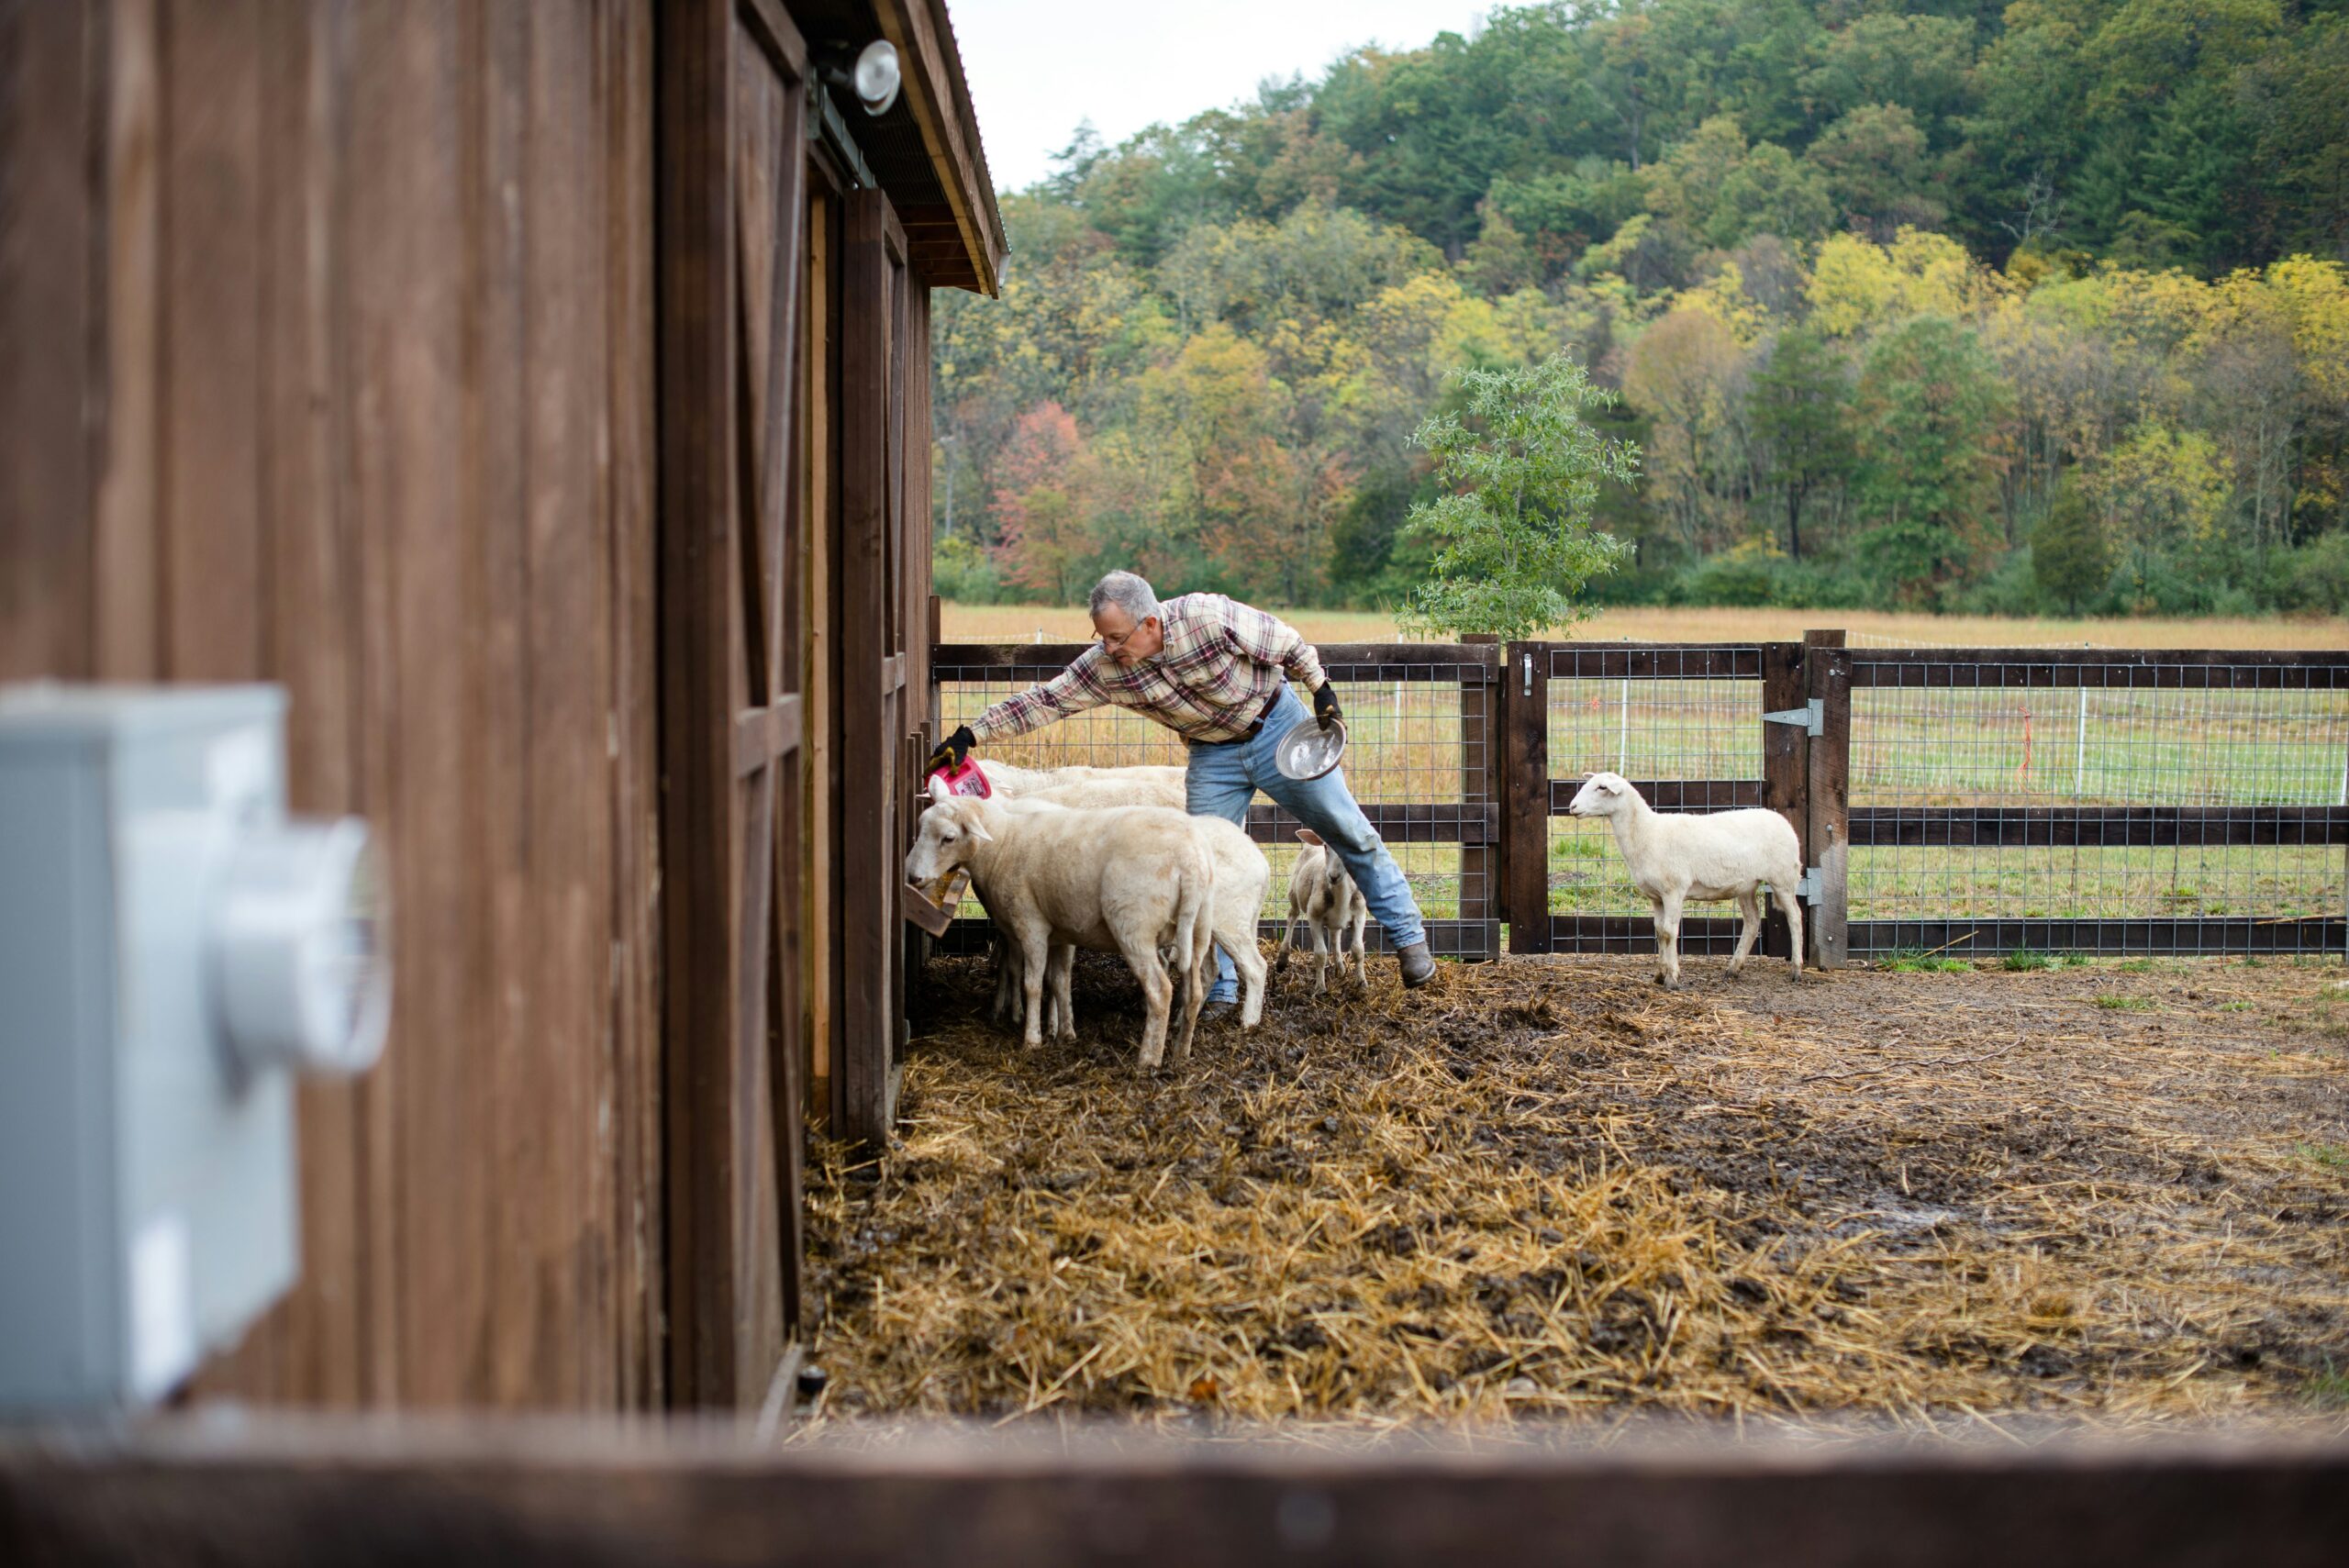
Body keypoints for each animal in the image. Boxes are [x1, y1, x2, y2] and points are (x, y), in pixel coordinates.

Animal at [902, 779, 1211, 1070]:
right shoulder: (1062, 932)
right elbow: (1060, 982)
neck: (1003, 844)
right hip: (1198, 929)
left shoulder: (1031, 924)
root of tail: (1188, 862)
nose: (912, 877)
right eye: (921, 825)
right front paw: (1066, 1034)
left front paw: (1032, 1039)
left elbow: (1033, 984)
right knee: (1194, 991)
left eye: (948, 838)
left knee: (1160, 991)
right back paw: (1182, 1052)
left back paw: (1149, 1059)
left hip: (1134, 926)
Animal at [1277, 821, 1372, 990]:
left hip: (1335, 921)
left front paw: (1362, 984)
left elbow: (1358, 950)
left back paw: (1340, 968)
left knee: (1335, 937)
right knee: (1292, 916)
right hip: (1294, 890)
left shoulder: (1360, 915)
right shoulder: (1314, 916)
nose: (1333, 876)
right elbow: (1320, 954)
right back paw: (1282, 959)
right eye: (1326, 847)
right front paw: (1320, 988)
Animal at [1569, 765, 1804, 985]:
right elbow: (1659, 931)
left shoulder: (1673, 890)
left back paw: (1796, 970)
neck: (1647, 832)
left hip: (1783, 878)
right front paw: (1660, 974)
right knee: (1753, 921)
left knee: (1795, 917)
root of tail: (1783, 821)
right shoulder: (1656, 896)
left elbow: (1669, 932)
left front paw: (1672, 978)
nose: (1572, 807)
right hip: (1746, 885)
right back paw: (1733, 969)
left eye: (1602, 787)